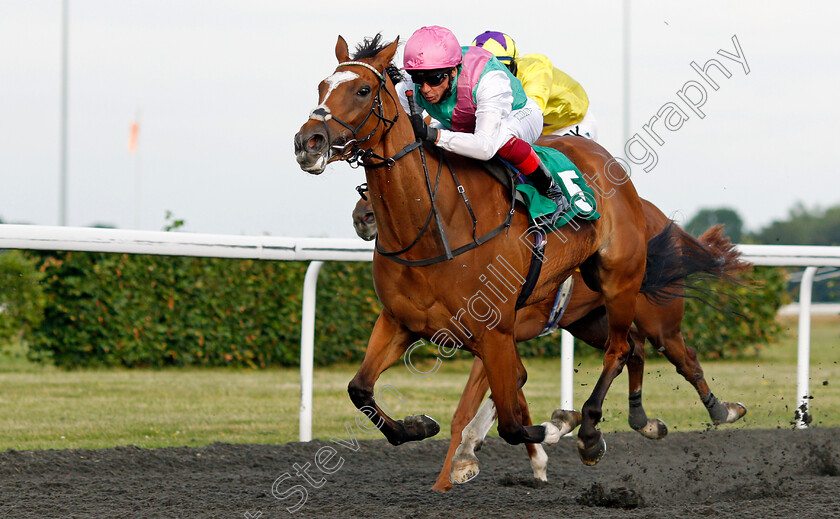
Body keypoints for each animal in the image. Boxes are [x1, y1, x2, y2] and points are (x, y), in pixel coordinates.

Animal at [296, 36, 708, 466]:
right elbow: (360, 389)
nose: (308, 142)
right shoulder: (399, 321)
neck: (433, 227)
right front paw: (419, 425)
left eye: (363, 90)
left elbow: (511, 421)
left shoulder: (494, 333)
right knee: (632, 349)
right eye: (321, 87)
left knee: (623, 348)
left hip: (622, 283)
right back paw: (642, 420)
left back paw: (594, 429)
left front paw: (557, 426)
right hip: (590, 315)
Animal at [352, 192, 744, 492]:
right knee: (632, 348)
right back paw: (642, 419)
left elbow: (475, 407)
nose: (362, 216)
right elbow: (513, 392)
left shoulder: (494, 338)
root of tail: (659, 218)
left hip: (657, 317)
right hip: (590, 320)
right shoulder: (496, 342)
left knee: (683, 356)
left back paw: (721, 409)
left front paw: (452, 473)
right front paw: (527, 457)